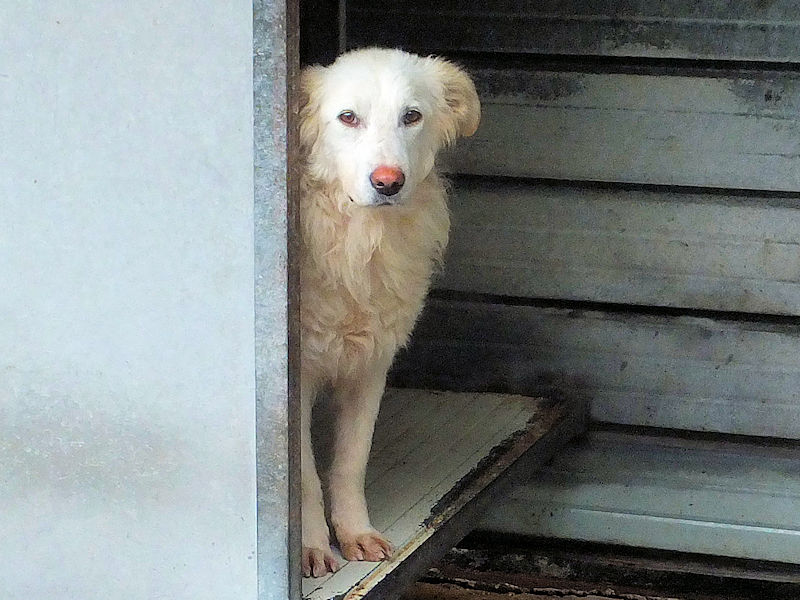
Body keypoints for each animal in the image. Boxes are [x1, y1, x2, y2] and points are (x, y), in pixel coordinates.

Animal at [297, 47, 480, 577]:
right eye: (348, 117)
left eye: (411, 116)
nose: (388, 183)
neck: (359, 242)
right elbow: (305, 477)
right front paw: (311, 546)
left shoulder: (370, 366)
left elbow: (349, 462)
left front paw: (354, 534)